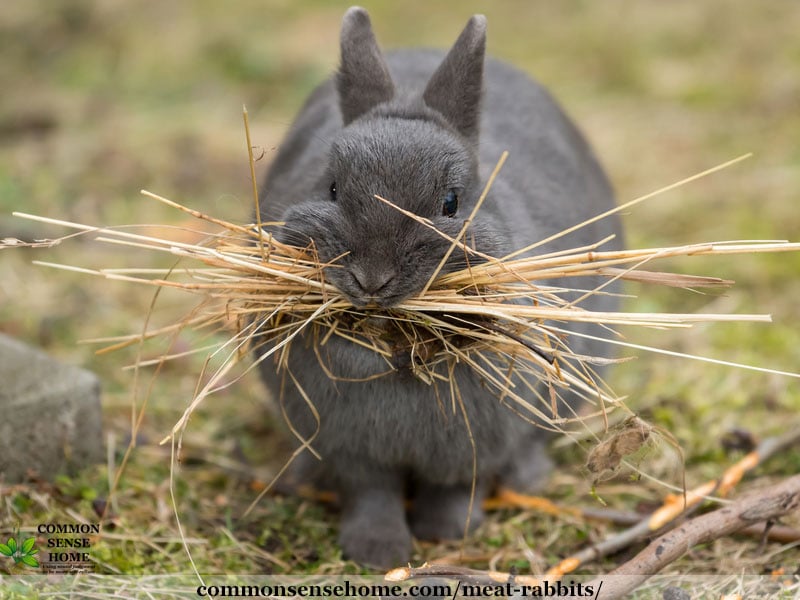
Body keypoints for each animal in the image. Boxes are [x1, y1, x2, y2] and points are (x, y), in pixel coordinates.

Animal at [260, 5, 620, 568]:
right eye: (332, 188)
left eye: (451, 202)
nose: (372, 279)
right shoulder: (354, 451)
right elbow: (371, 492)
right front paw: (377, 553)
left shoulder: (472, 443)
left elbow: (453, 486)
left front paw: (445, 534)